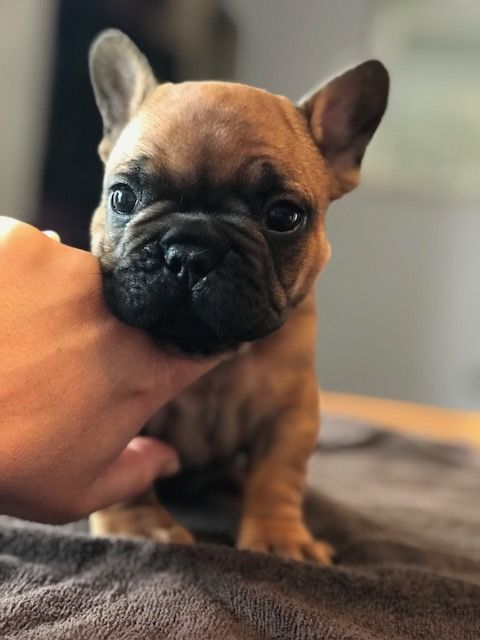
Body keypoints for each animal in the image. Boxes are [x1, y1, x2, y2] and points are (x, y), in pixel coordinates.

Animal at [88, 30, 388, 564]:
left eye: (284, 216)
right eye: (122, 197)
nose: (190, 252)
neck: (211, 357)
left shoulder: (291, 415)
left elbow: (278, 477)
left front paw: (279, 537)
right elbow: (123, 470)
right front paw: (138, 526)